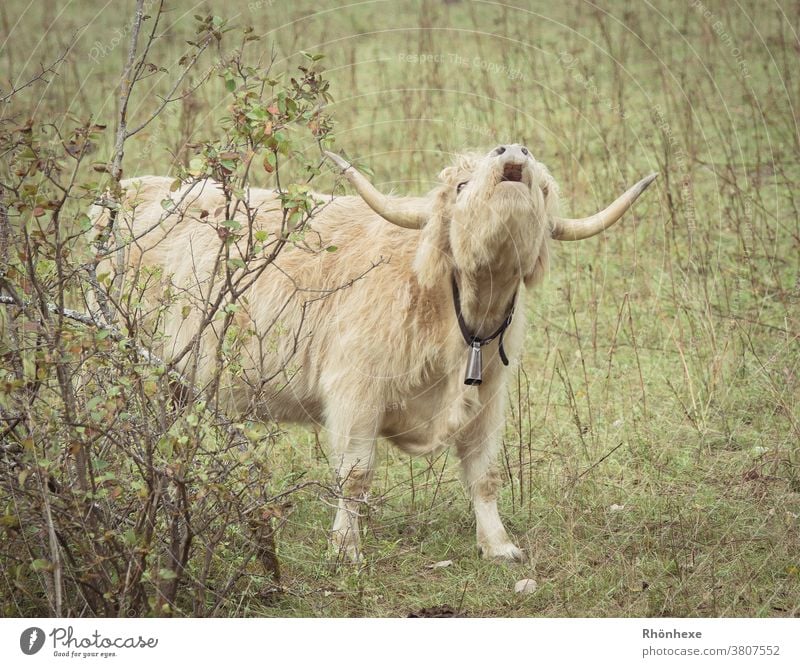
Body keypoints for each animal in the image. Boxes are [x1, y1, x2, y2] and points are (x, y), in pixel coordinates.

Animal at [97, 147, 652, 564]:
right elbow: (356, 473)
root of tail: (125, 193)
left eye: (541, 187)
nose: (512, 151)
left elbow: (485, 475)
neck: (457, 309)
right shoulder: (355, 390)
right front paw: (346, 550)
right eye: (461, 186)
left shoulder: (488, 399)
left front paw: (499, 546)